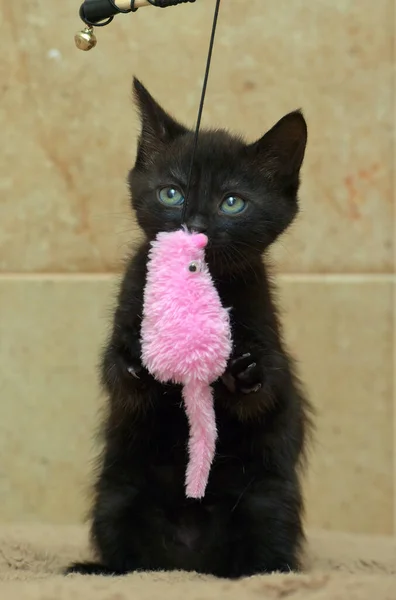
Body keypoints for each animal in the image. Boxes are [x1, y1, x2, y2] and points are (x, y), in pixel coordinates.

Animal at [67, 78, 312, 576]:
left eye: (232, 203)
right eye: (172, 194)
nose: (194, 224)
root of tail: (190, 561)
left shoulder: (264, 320)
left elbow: (269, 391)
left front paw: (247, 374)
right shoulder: (130, 300)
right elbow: (116, 376)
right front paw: (135, 363)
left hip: (269, 498)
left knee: (267, 552)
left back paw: (264, 572)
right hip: (115, 493)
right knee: (127, 556)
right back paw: (97, 570)